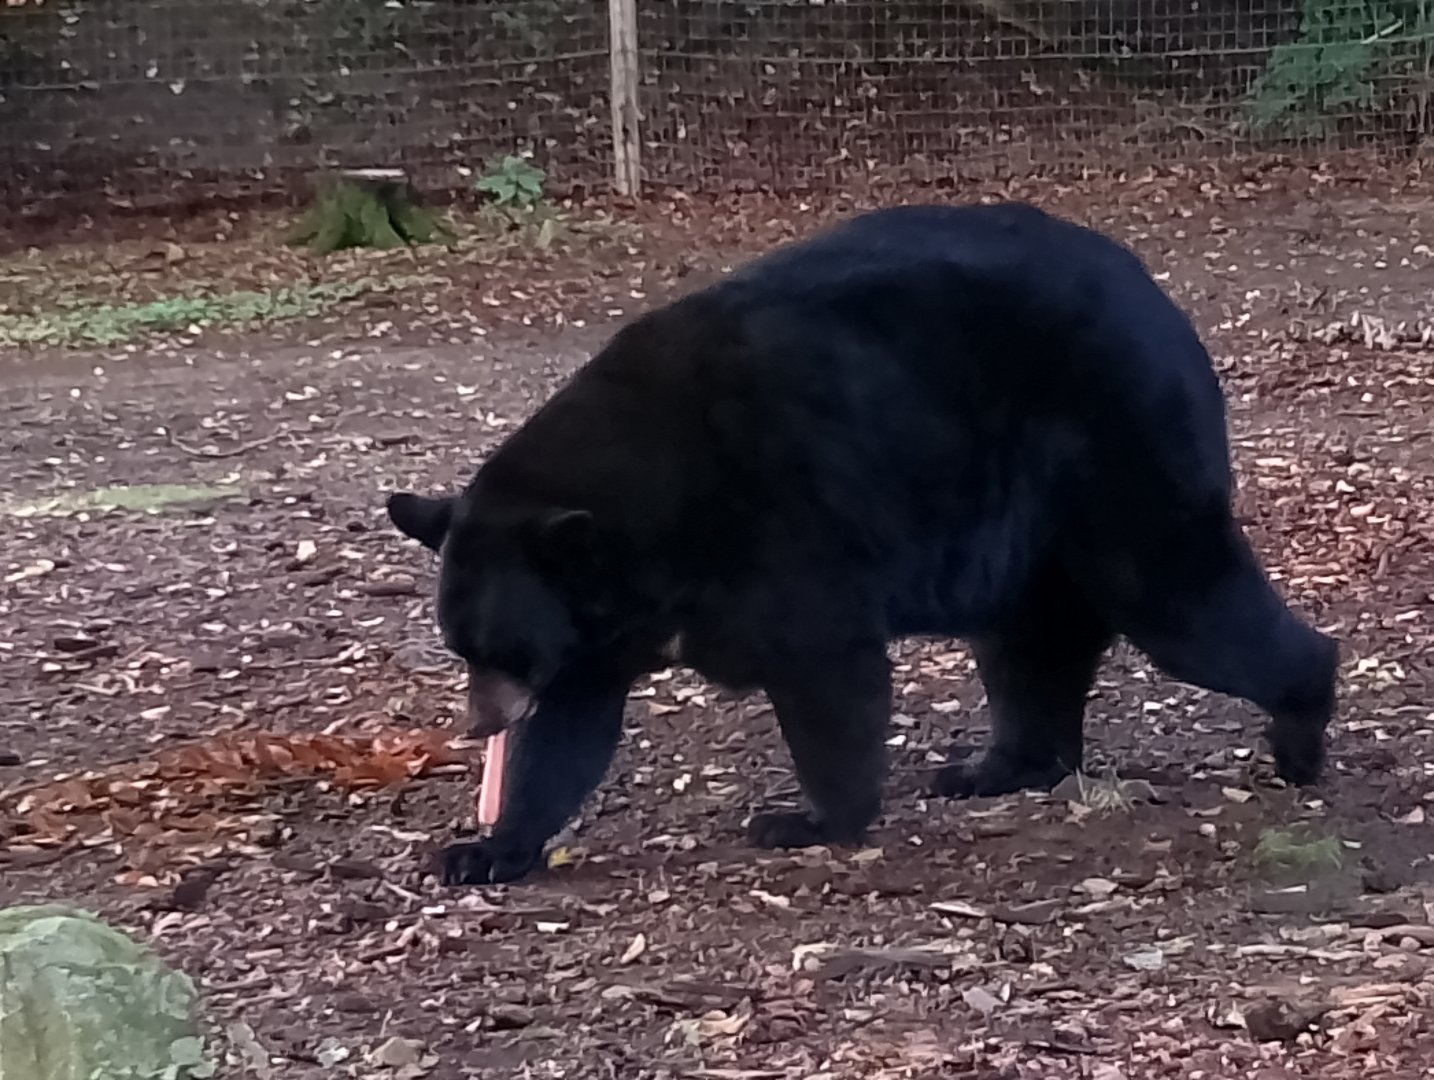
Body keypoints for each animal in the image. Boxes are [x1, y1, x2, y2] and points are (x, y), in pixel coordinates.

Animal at [386, 202, 1339, 887]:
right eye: (464, 648)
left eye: (503, 648)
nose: (481, 723)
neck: (644, 522)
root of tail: (1162, 298)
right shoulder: (597, 622)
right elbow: (571, 729)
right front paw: (489, 848)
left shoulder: (782, 523)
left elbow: (826, 671)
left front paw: (809, 819)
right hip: (1032, 537)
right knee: (1028, 645)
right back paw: (998, 765)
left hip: (1118, 456)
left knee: (1183, 596)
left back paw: (1301, 731)